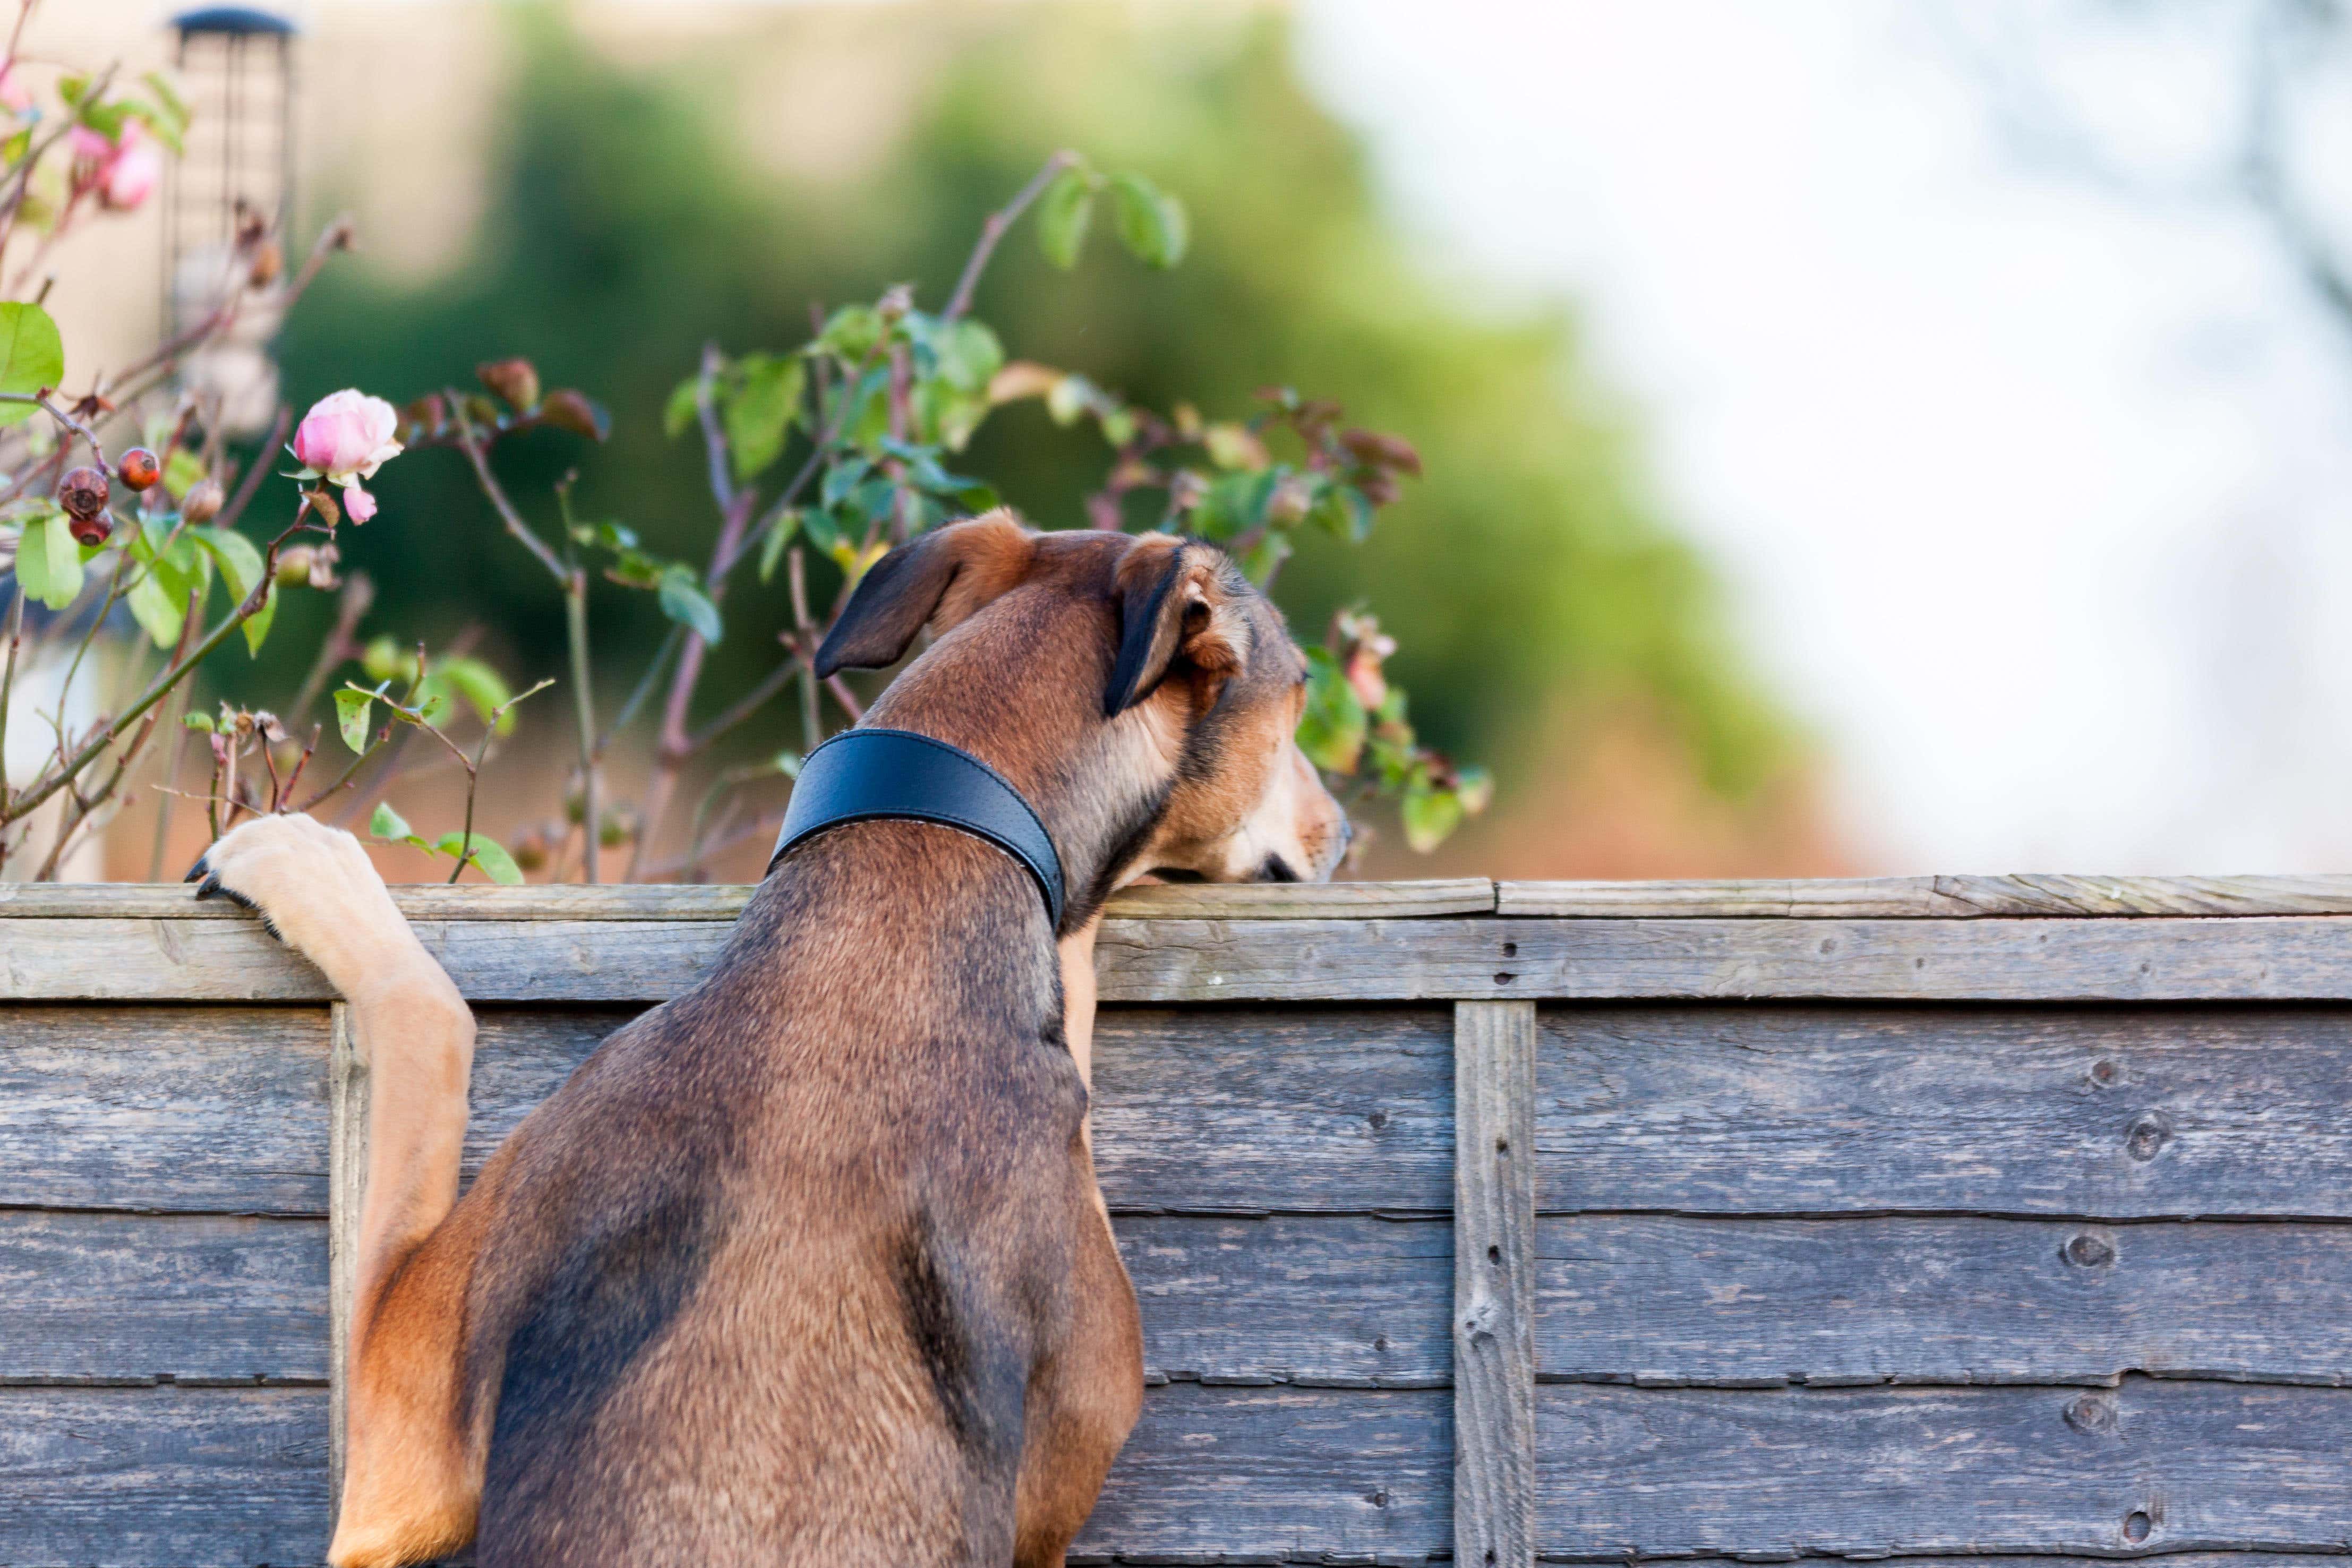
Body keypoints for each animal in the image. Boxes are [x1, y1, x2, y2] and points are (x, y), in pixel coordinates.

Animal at [193, 517, 1345, 1568]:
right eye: (1297, 702)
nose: (1343, 829)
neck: (920, 857)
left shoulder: (398, 1452)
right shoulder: (395, 1447)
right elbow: (432, 1006)